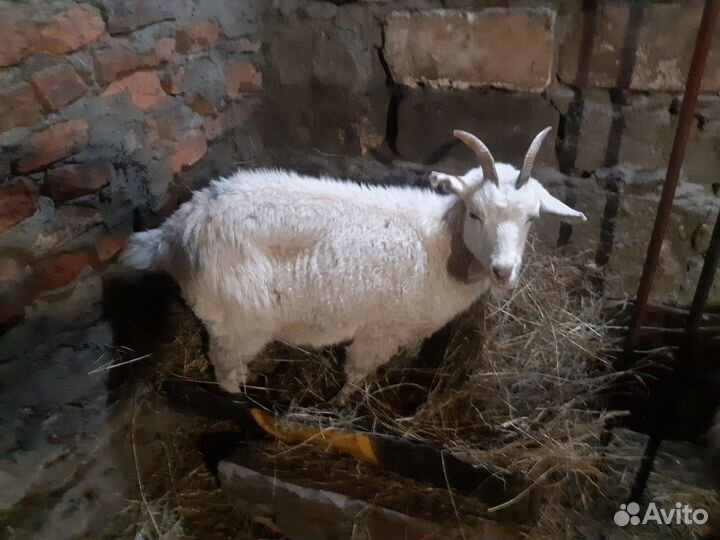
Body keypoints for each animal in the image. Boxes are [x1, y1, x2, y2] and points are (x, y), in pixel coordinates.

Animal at [122, 127, 586, 401]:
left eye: (532, 218)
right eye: (475, 213)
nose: (503, 271)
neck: (439, 242)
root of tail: (179, 228)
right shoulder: (377, 330)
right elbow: (356, 374)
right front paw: (341, 405)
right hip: (239, 320)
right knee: (225, 368)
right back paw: (241, 399)